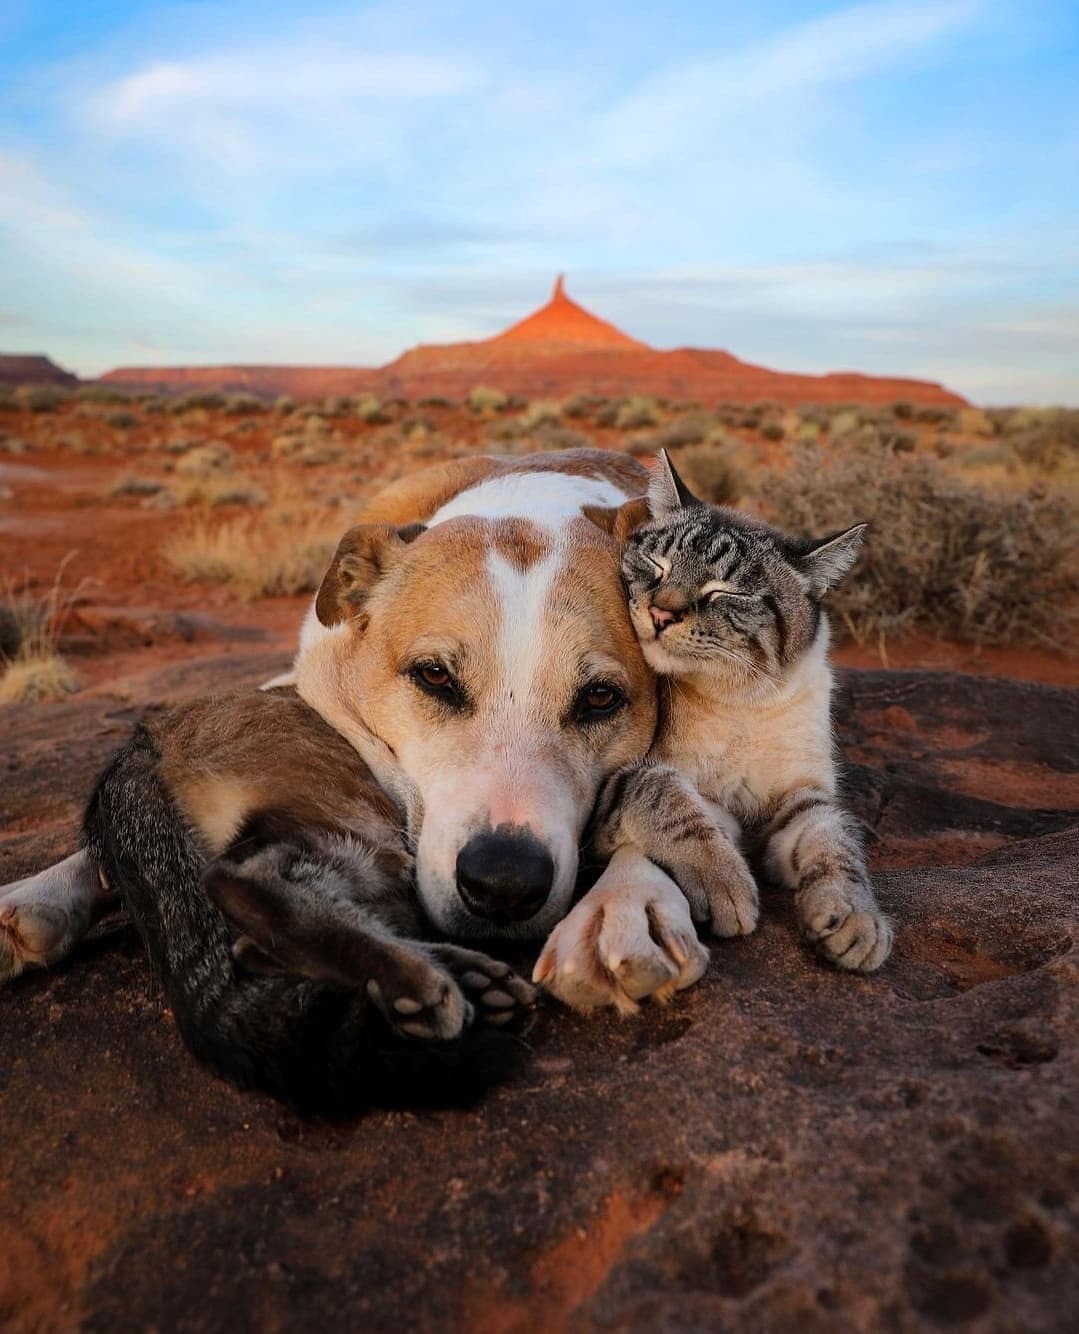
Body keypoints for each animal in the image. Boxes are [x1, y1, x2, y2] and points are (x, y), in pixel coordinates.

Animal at [589, 453, 890, 976]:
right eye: (656, 565)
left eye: (724, 593)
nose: (661, 614)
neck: (740, 704)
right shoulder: (610, 785)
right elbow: (668, 796)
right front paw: (725, 884)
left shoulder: (802, 798)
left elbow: (836, 840)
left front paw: (856, 920)